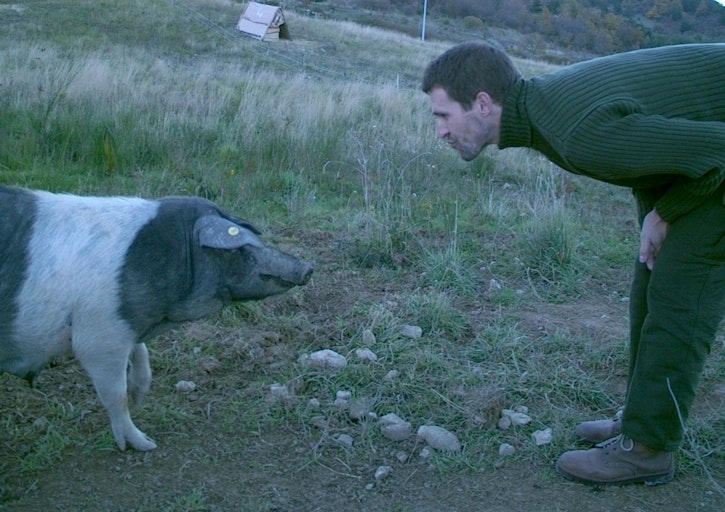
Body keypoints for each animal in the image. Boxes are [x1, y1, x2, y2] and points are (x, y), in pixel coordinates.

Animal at [0, 186, 312, 450]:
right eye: (241, 247)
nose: (307, 266)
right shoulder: (100, 337)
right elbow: (115, 396)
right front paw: (143, 445)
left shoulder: (128, 326)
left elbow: (142, 356)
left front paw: (139, 396)